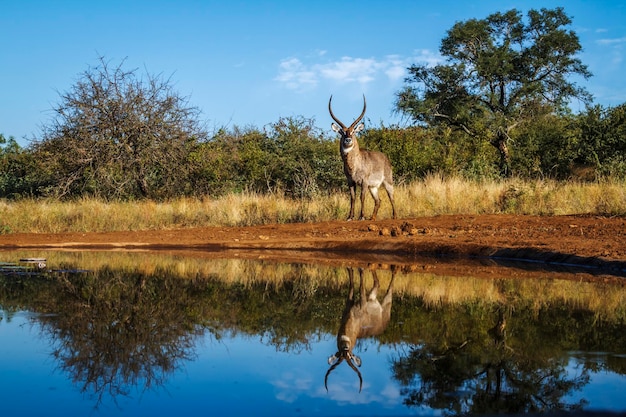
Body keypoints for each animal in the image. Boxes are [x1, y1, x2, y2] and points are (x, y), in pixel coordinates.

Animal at [324, 264, 392, 392]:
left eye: (350, 355)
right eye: (341, 355)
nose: (345, 347)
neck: (351, 318)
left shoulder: (362, 303)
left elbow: (361, 286)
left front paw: (360, 269)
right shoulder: (349, 302)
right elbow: (351, 283)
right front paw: (351, 268)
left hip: (387, 303)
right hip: (373, 296)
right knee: (377, 283)